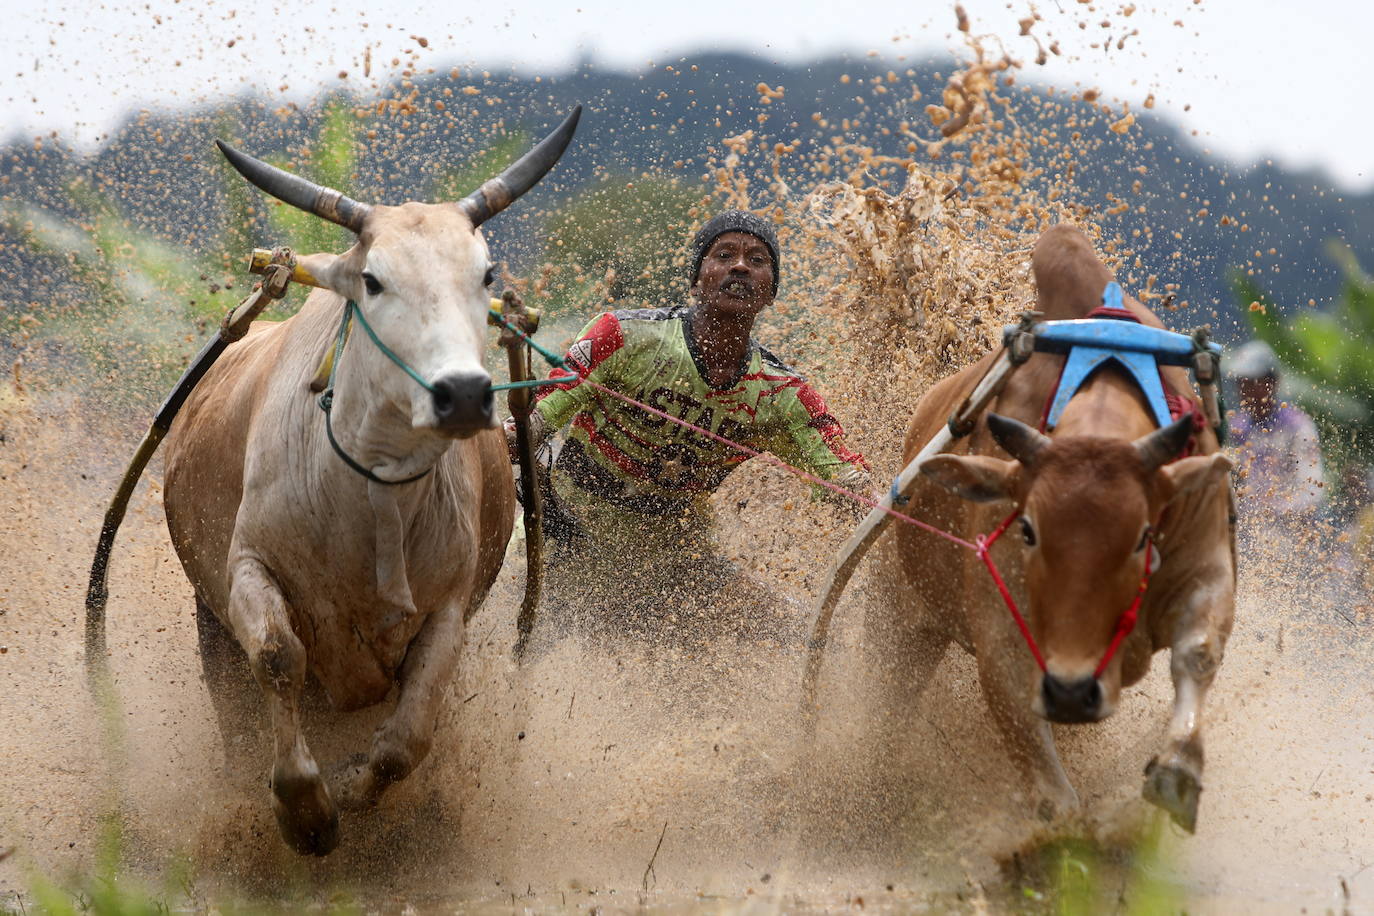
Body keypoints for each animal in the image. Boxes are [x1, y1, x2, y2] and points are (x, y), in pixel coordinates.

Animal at [873, 223, 1242, 829]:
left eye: (1143, 536)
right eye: (1028, 531)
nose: (1072, 693)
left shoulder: (1205, 565)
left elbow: (1198, 652)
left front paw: (1177, 772)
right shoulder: (1003, 638)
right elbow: (1052, 794)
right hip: (899, 617)